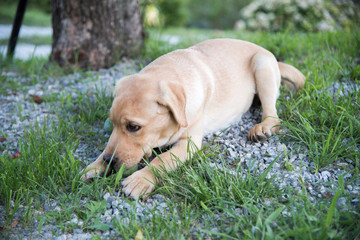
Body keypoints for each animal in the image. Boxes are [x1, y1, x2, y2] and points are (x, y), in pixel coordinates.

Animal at [82, 39, 306, 199]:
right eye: (112, 123)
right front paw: (95, 166)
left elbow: (163, 159)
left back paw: (262, 127)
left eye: (134, 127)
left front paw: (141, 179)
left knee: (273, 114)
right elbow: (107, 146)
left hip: (262, 67)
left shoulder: (189, 144)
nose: (110, 161)